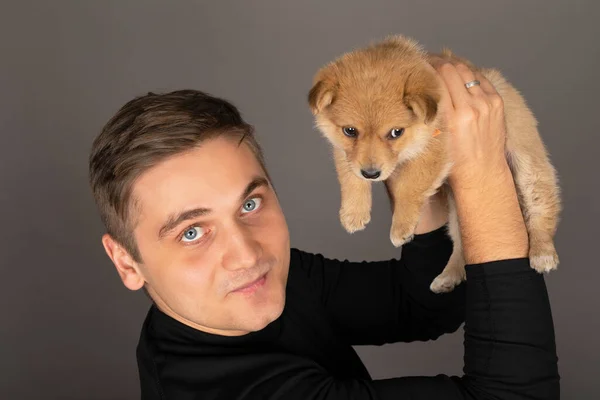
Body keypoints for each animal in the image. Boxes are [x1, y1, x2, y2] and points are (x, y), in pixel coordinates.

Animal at [308, 36, 560, 292]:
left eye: (396, 132)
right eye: (350, 131)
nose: (371, 173)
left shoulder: (436, 150)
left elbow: (409, 187)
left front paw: (400, 227)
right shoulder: (346, 152)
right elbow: (350, 178)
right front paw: (353, 213)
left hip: (529, 170)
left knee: (542, 210)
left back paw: (543, 253)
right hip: (457, 211)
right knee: (460, 245)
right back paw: (449, 276)